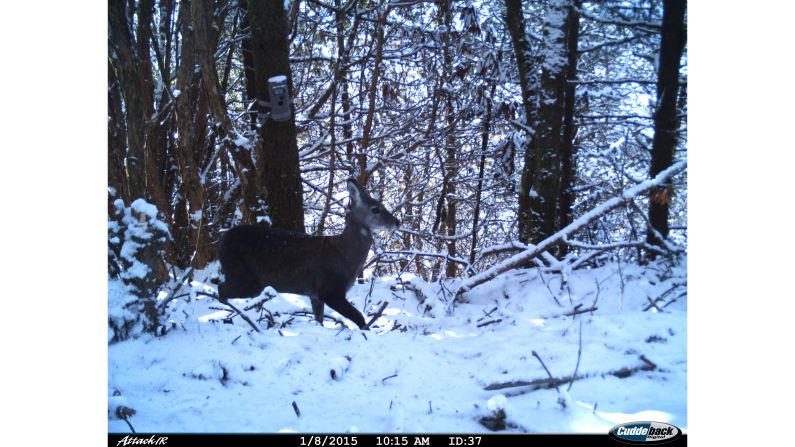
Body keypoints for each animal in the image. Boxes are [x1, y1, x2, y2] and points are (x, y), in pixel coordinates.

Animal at [218, 178, 402, 328]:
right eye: (375, 209)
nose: (397, 221)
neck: (344, 255)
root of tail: (223, 240)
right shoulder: (330, 288)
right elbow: (359, 318)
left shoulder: (315, 294)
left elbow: (319, 319)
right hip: (243, 276)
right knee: (221, 289)